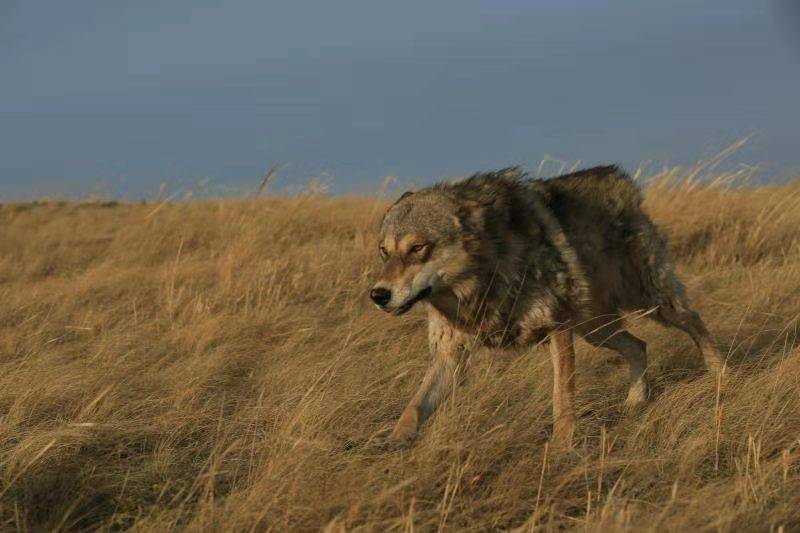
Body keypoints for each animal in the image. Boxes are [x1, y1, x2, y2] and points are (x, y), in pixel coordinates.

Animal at [368, 165, 724, 444]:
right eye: (384, 251)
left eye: (417, 248)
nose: (378, 295)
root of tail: (618, 178)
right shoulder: (451, 354)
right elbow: (413, 408)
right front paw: (394, 443)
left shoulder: (558, 328)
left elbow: (562, 398)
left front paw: (563, 447)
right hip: (596, 329)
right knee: (639, 345)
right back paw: (636, 402)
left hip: (653, 301)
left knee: (696, 324)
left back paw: (722, 375)